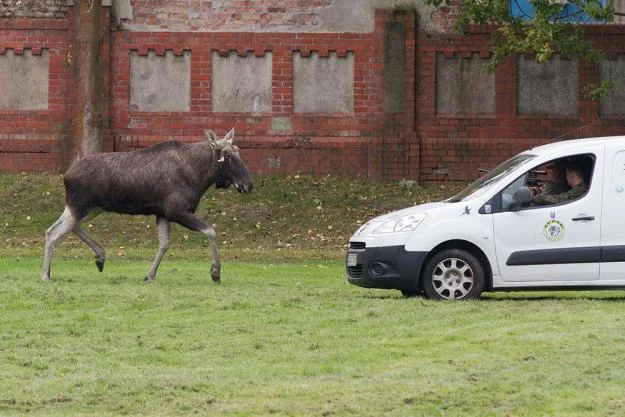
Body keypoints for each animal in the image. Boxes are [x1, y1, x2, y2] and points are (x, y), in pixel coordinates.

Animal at [42, 128, 254, 282]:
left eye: (238, 151)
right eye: (227, 156)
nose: (248, 184)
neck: (200, 177)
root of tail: (66, 175)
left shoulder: (162, 214)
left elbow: (164, 244)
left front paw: (149, 275)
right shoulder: (176, 211)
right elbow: (211, 231)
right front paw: (215, 272)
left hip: (93, 208)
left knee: (68, 228)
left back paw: (100, 257)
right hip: (80, 206)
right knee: (53, 232)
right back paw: (45, 275)